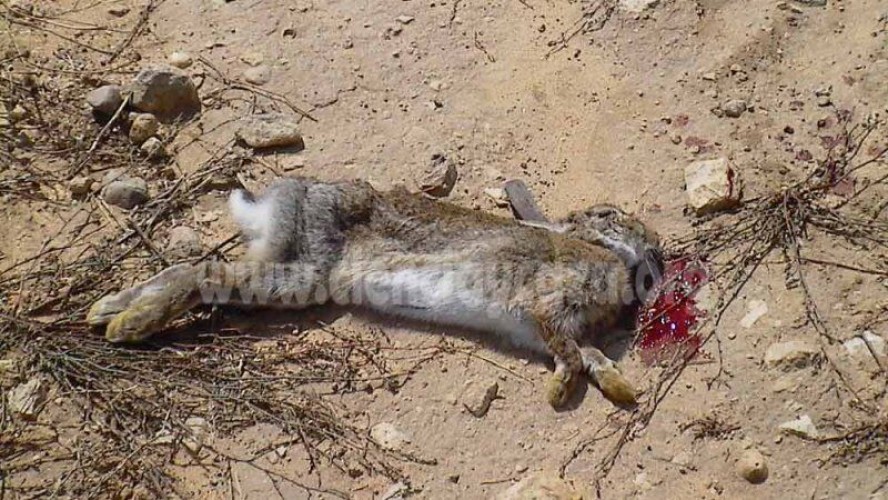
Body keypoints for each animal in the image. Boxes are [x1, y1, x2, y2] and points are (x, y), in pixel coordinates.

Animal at [87, 177, 663, 408]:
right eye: (611, 215)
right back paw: (128, 326)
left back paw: (105, 311)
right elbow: (571, 353)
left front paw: (620, 389)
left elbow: (589, 354)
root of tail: (286, 196)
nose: (655, 242)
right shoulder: (545, 306)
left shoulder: (544, 328)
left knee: (186, 266)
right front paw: (559, 393)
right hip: (303, 276)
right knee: (202, 274)